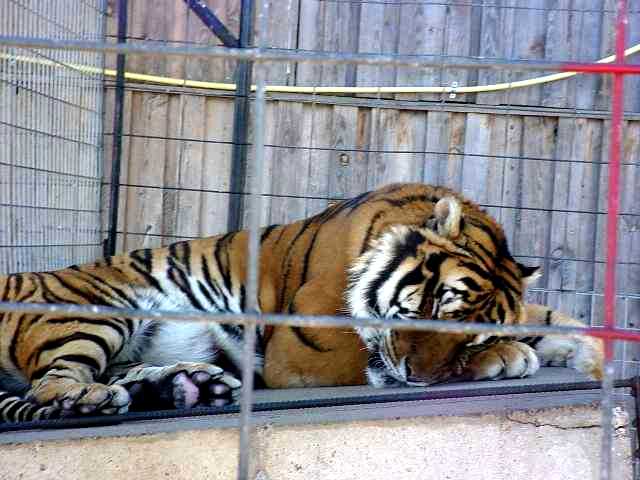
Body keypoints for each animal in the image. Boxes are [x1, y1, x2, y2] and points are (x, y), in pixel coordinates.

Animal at [0, 182, 600, 422]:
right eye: (434, 309)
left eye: (466, 335)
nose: (418, 379)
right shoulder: (303, 349)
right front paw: (507, 356)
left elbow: (544, 316)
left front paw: (588, 351)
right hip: (91, 312)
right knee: (49, 384)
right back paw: (88, 402)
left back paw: (190, 385)